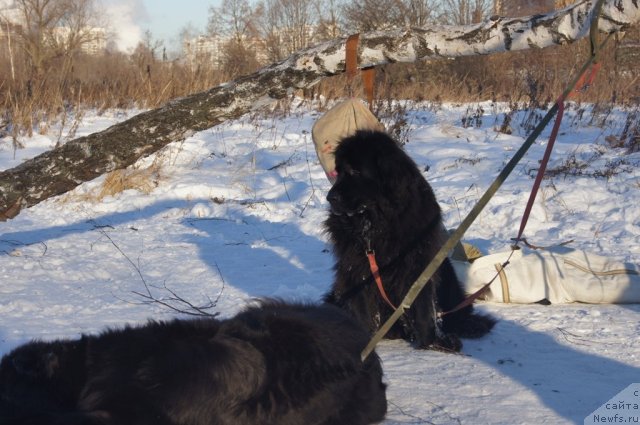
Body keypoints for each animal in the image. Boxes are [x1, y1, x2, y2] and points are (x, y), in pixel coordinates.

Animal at [324, 130, 496, 352]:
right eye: (338, 172)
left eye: (355, 171)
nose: (330, 198)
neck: (376, 224)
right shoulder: (355, 268)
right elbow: (363, 311)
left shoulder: (418, 264)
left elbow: (423, 307)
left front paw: (431, 343)